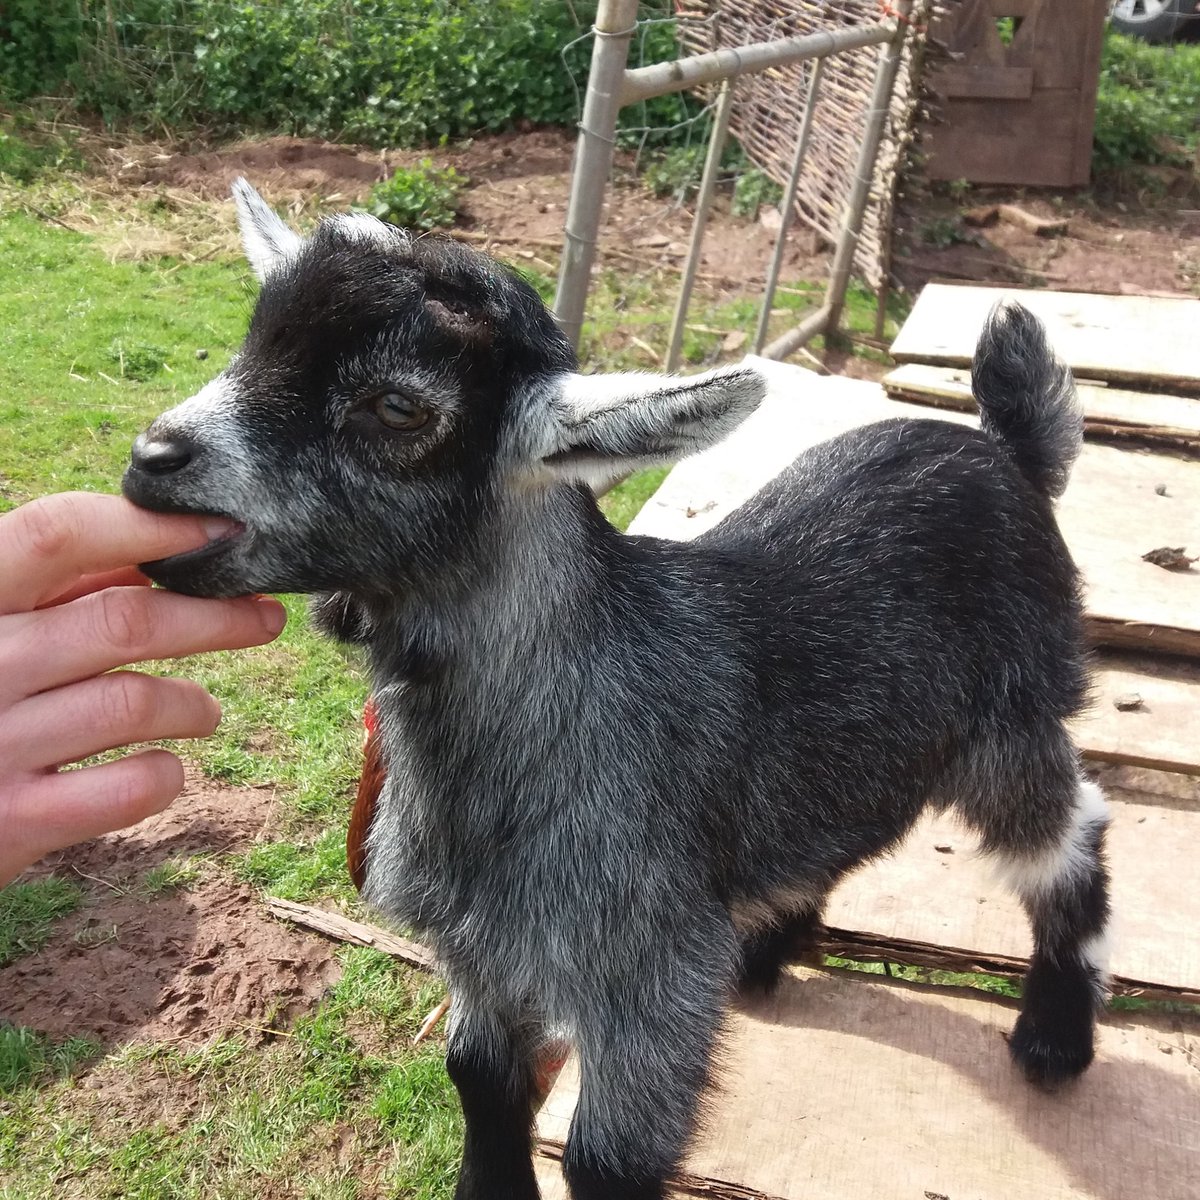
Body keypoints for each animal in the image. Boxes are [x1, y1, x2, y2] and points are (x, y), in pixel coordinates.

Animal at [123, 181, 1110, 1200]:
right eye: (250, 341)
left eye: (396, 406)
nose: (153, 459)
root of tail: (1007, 451)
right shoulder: (481, 952)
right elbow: (477, 1075)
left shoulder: (650, 975)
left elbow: (609, 1159)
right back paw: (770, 947)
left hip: (1013, 716)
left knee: (1069, 833)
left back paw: (1054, 1034)